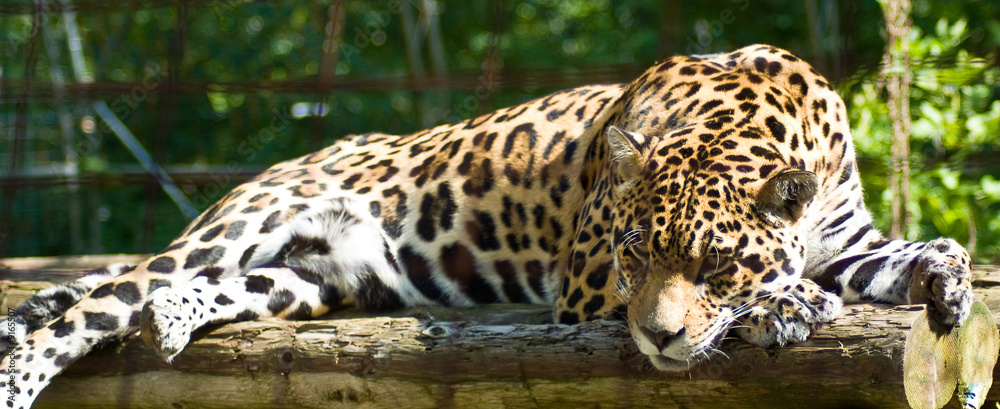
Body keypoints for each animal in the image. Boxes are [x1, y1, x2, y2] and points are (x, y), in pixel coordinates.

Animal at [2, 45, 973, 407]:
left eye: (715, 261)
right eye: (634, 254)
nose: (657, 342)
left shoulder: (847, 236)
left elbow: (903, 253)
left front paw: (946, 276)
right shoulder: (589, 286)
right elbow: (778, 289)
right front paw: (785, 304)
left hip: (311, 276)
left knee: (184, 295)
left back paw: (169, 321)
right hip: (237, 226)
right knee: (95, 306)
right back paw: (31, 370)